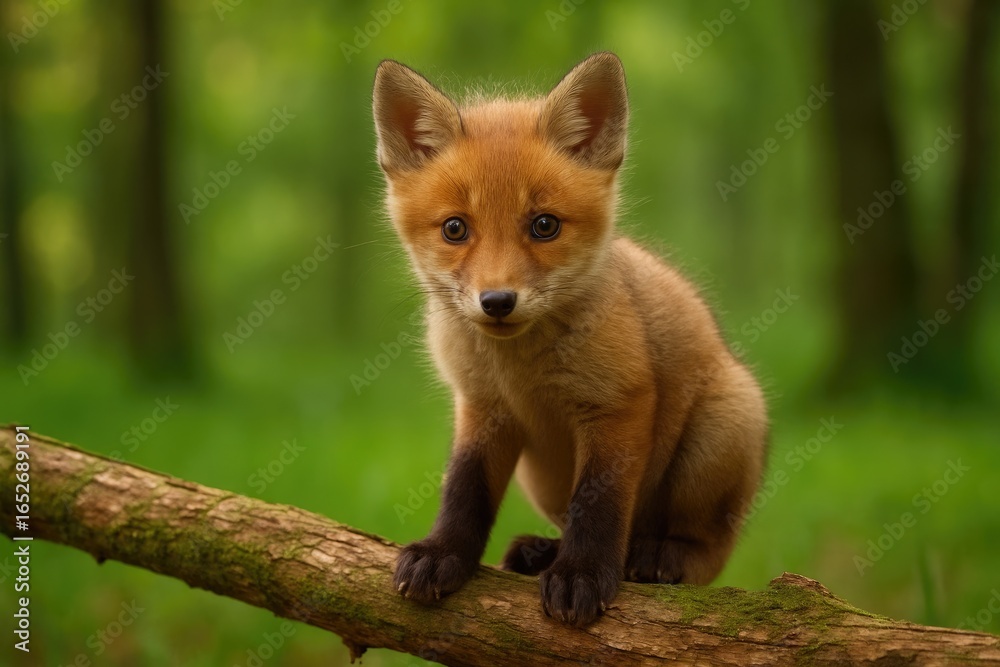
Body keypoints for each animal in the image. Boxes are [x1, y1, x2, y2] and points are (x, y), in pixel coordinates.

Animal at [373, 52, 768, 627]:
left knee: (707, 552)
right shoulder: (481, 406)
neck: (519, 369)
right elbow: (464, 490)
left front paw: (581, 574)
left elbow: (598, 505)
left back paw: (658, 556)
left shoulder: (618, 403)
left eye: (544, 225)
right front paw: (443, 551)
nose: (497, 301)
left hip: (725, 428)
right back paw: (545, 552)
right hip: (541, 479)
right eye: (454, 229)